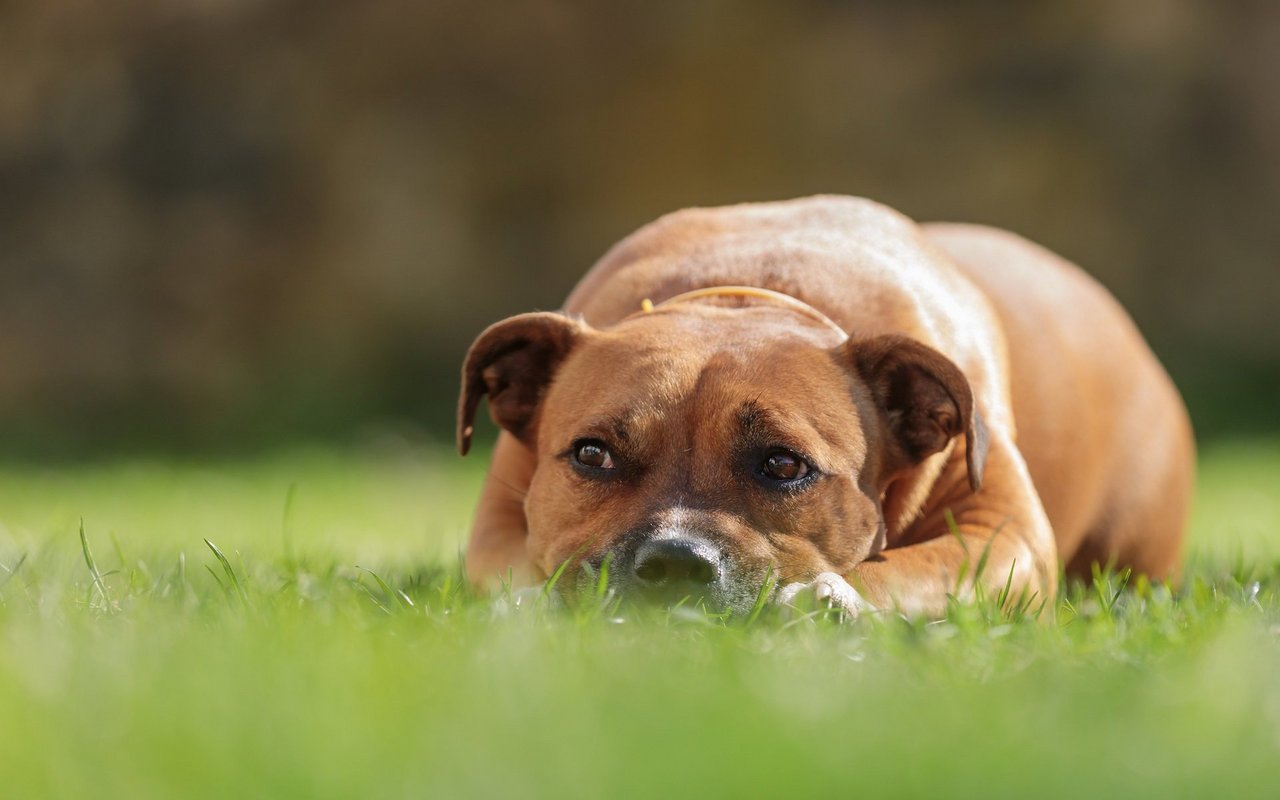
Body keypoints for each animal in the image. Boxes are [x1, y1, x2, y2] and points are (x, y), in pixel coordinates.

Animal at [455, 194, 1192, 616]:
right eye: (592, 455)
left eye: (784, 466)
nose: (674, 563)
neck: (743, 293)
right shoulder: (495, 529)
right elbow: (521, 576)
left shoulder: (1003, 535)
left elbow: (908, 573)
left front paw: (831, 599)